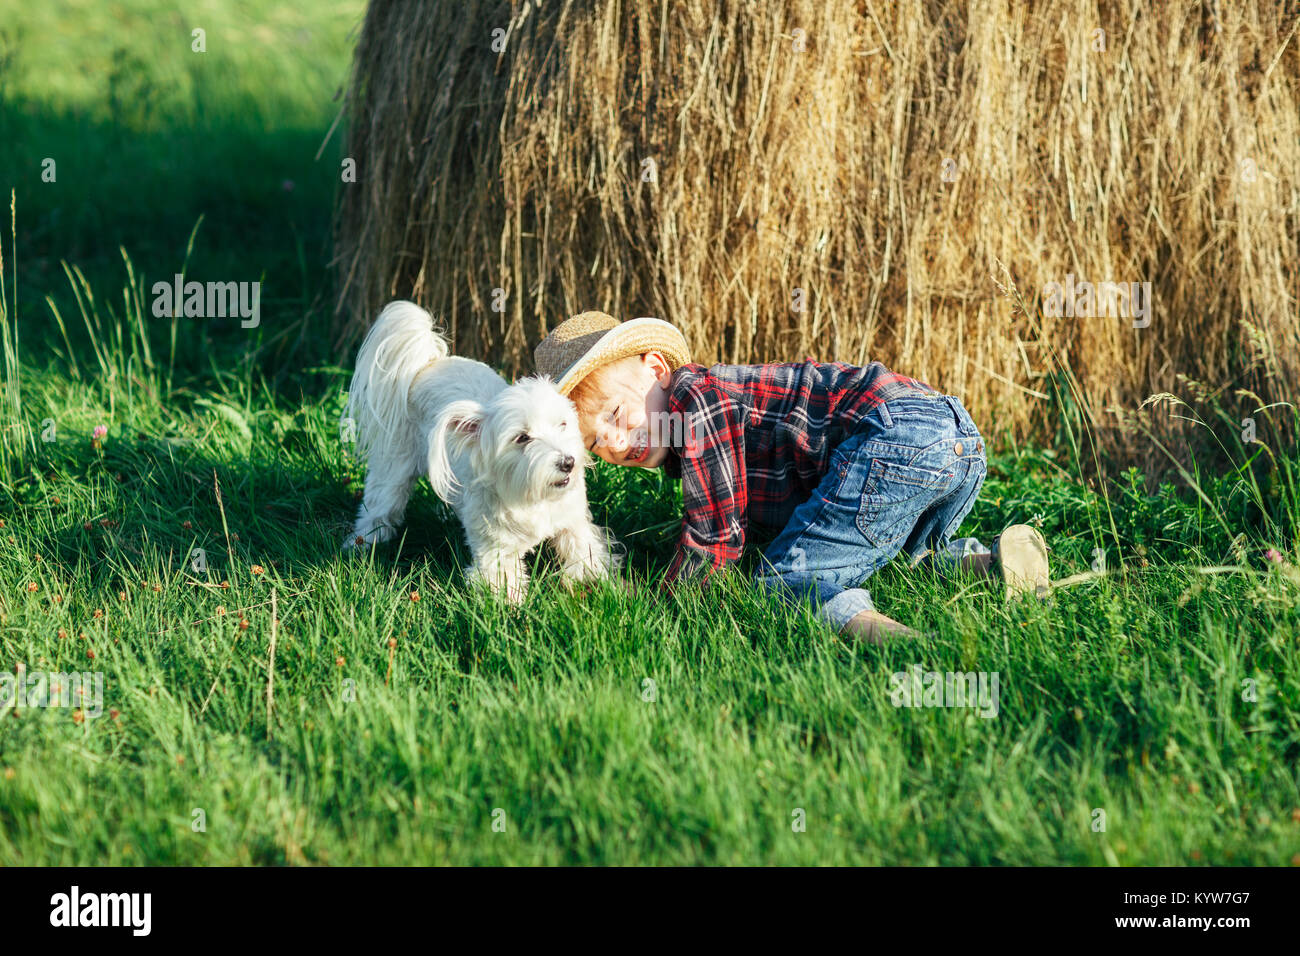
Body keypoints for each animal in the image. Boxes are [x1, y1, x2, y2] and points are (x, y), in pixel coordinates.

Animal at [340, 299, 613, 600]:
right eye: (522, 438)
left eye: (562, 424)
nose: (568, 462)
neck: (531, 492)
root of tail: (429, 363)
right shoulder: (496, 551)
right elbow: (504, 587)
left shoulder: (574, 523)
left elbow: (583, 553)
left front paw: (592, 585)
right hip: (394, 468)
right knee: (380, 505)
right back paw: (364, 541)